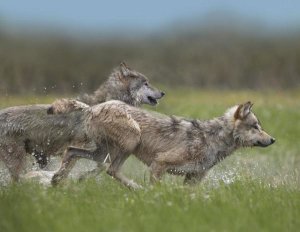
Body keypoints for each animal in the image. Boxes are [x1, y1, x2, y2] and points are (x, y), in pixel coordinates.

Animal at [0, 63, 164, 181]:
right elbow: (85, 166)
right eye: (146, 83)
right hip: (19, 160)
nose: (163, 92)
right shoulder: (81, 146)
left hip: (37, 156)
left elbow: (100, 166)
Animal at [51, 99, 274, 188]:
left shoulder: (193, 179)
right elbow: (157, 190)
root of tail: (94, 107)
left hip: (104, 153)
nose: (273, 139)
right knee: (111, 170)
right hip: (130, 141)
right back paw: (137, 189)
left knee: (71, 152)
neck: (213, 139)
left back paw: (57, 181)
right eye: (256, 127)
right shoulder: (159, 164)